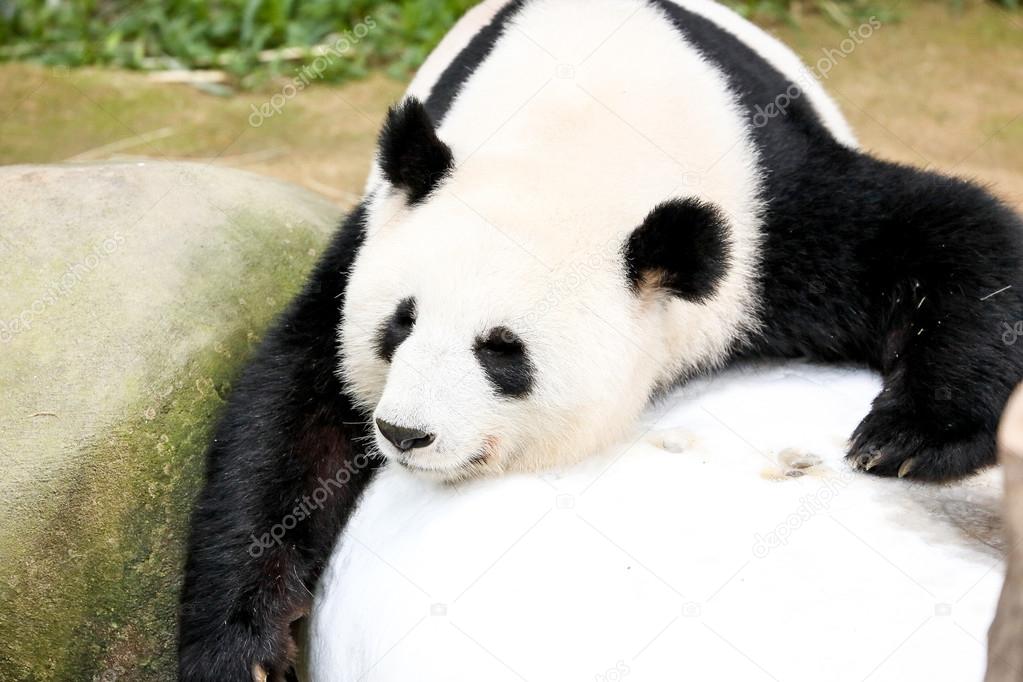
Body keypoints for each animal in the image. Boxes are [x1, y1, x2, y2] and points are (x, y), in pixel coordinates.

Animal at [178, 0, 1023, 680]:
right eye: (399, 324)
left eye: (502, 350)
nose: (402, 432)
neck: (580, 137)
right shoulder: (378, 226)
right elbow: (290, 412)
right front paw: (243, 648)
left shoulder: (768, 213)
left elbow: (951, 234)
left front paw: (909, 435)